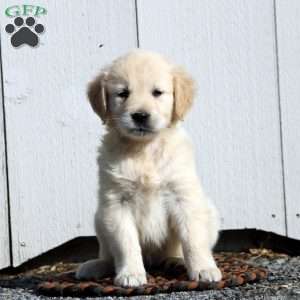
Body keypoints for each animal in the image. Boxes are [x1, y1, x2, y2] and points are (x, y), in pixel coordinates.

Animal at [76, 50, 221, 288]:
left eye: (157, 93)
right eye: (123, 93)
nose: (140, 116)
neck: (144, 150)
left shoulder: (184, 197)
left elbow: (193, 239)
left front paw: (203, 269)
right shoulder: (117, 203)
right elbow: (126, 244)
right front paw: (130, 273)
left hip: (209, 210)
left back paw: (176, 261)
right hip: (100, 218)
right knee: (108, 255)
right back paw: (95, 266)